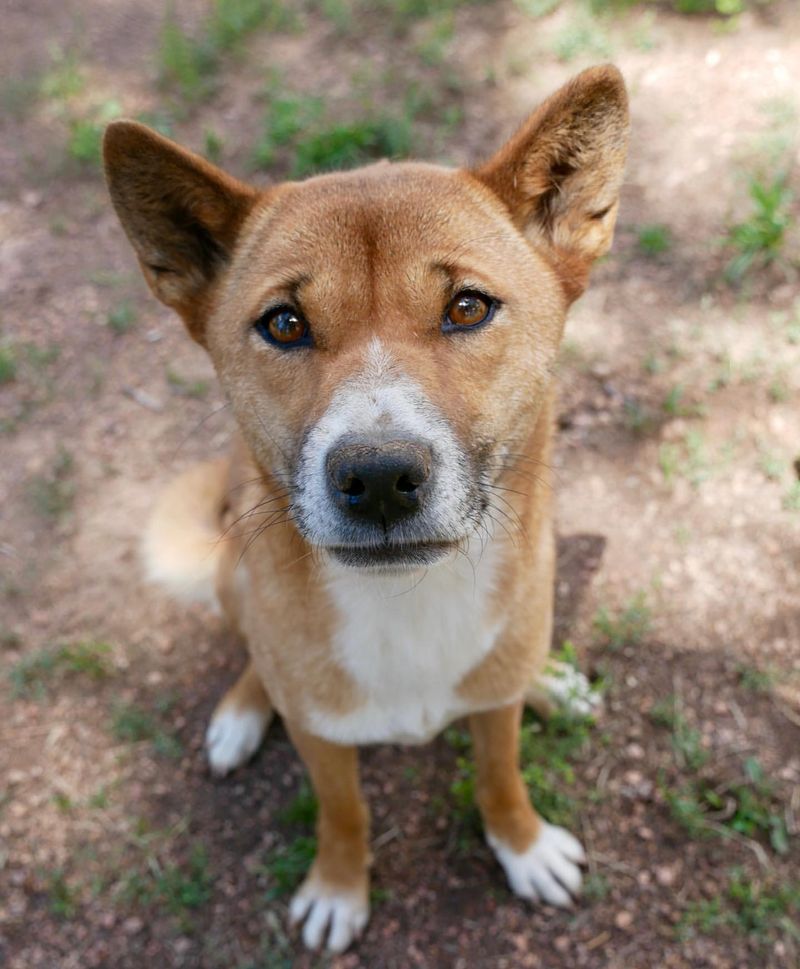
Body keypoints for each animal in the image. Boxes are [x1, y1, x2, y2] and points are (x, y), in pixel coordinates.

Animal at [104, 68, 632, 952]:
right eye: (284, 323)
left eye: (467, 307)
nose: (380, 476)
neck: (408, 603)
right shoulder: (322, 739)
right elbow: (342, 810)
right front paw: (338, 886)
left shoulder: (493, 712)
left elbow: (500, 773)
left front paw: (522, 844)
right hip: (232, 576)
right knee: (254, 653)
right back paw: (243, 711)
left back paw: (548, 680)